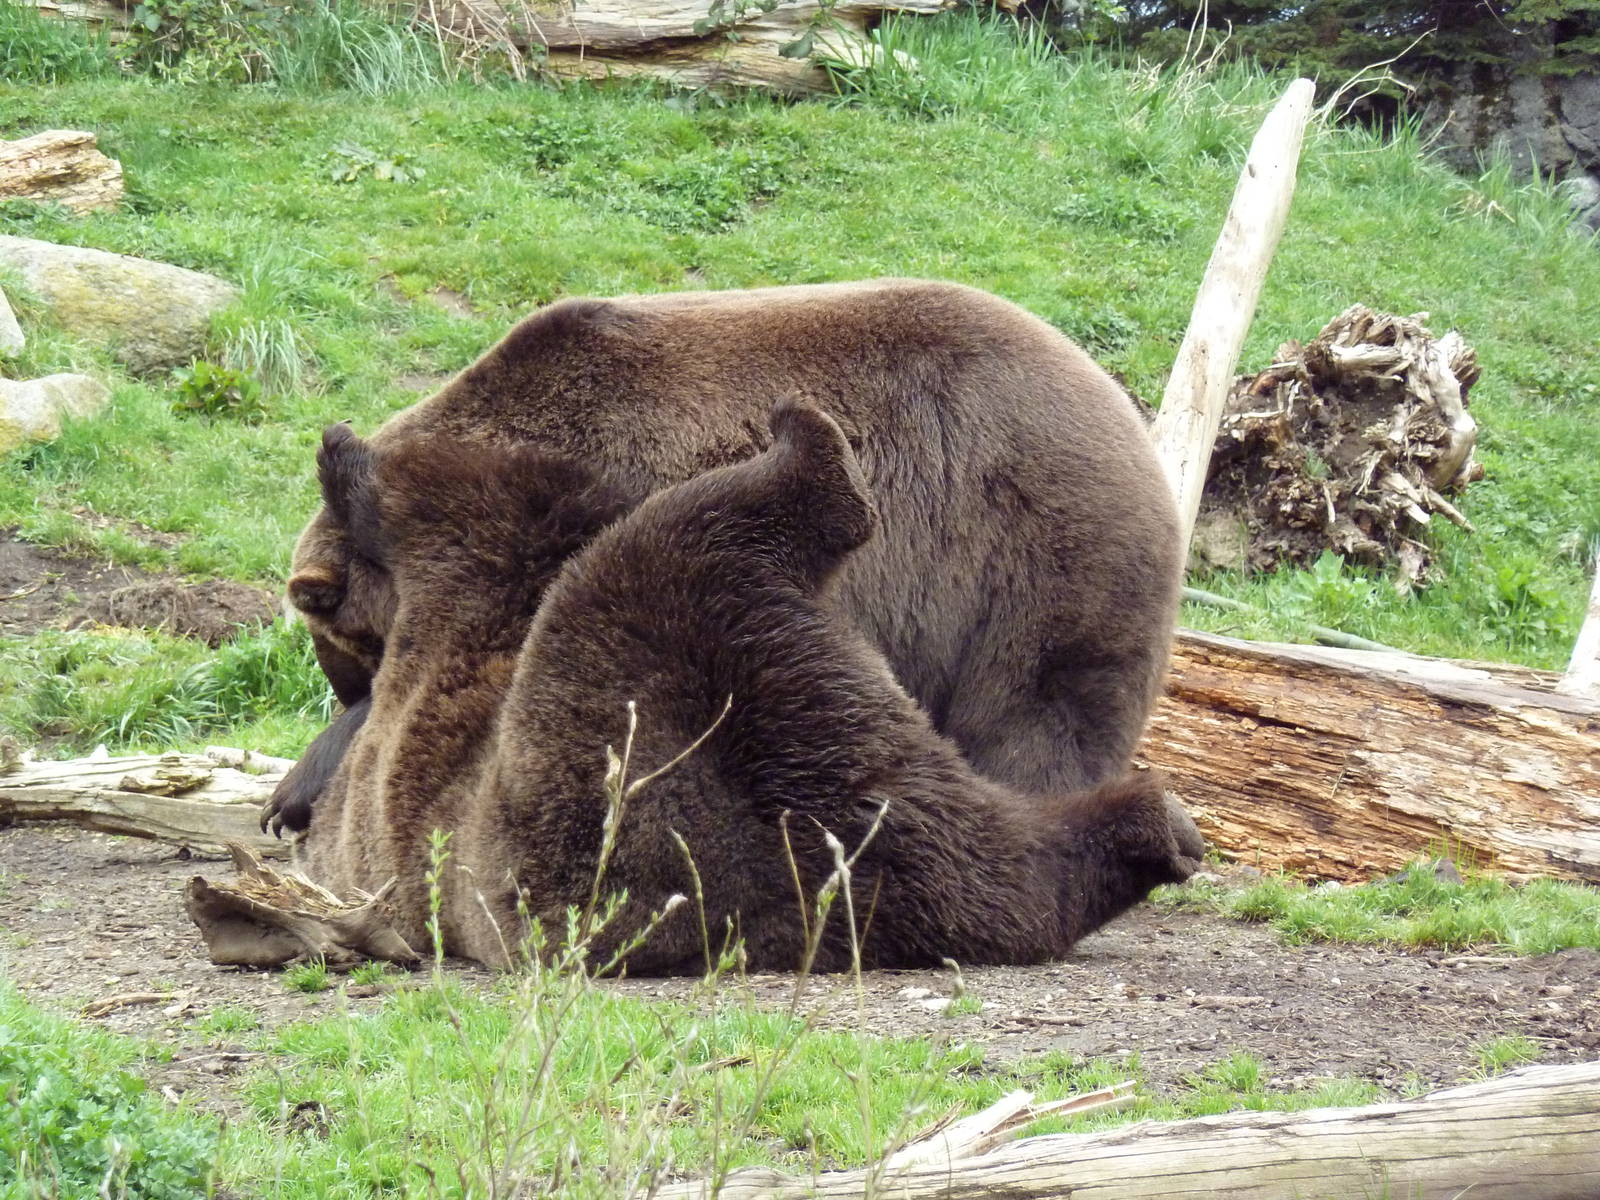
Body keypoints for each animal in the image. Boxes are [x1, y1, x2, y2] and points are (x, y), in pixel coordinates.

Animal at [266, 279, 1183, 837]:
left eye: (342, 655)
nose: (344, 680)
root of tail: (1132, 420)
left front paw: (300, 785)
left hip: (1029, 554)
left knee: (1040, 714)